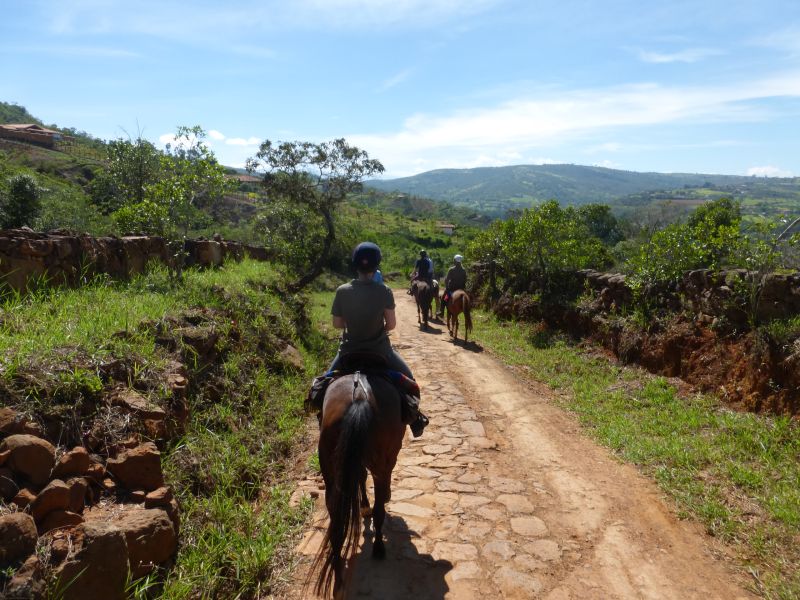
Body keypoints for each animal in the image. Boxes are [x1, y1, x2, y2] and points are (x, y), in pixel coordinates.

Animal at [312, 370, 406, 596]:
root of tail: (360, 398)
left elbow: (361, 476)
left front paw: (363, 506)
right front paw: (370, 504)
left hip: (331, 468)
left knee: (336, 523)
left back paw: (337, 578)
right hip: (382, 461)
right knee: (380, 508)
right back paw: (379, 547)